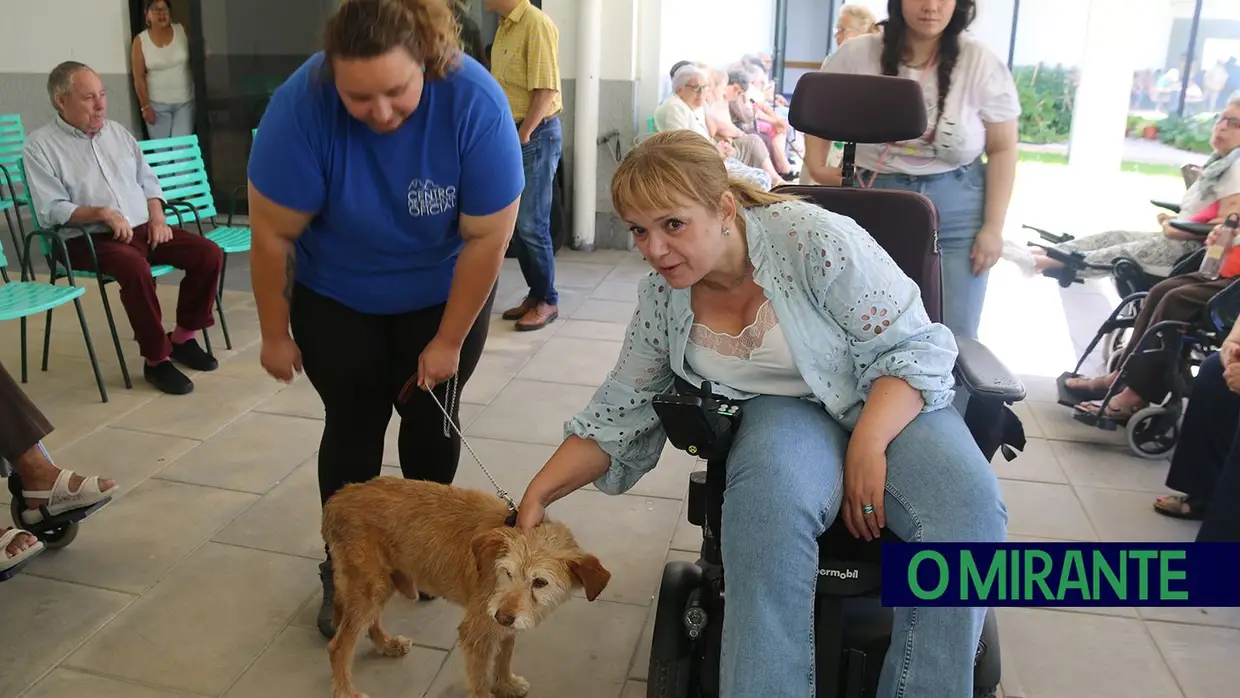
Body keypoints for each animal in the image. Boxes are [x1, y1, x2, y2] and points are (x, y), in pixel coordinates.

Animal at [319, 476, 610, 698]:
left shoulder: (504, 625)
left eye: (540, 582)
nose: (502, 616)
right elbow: (480, 681)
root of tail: (338, 498)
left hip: (381, 584)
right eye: (507, 572)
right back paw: (346, 691)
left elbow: (504, 655)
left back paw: (386, 643)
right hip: (370, 586)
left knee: (369, 622)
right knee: (338, 648)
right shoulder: (477, 632)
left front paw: (505, 683)